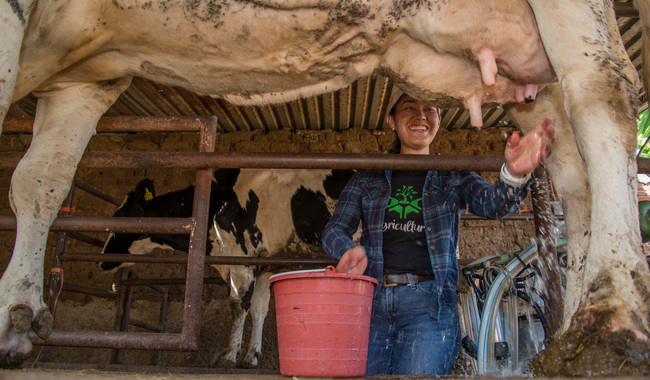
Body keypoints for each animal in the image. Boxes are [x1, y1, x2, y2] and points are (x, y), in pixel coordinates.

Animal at [102, 168, 354, 366]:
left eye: (120, 217)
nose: (103, 260)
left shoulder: (242, 258)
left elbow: (238, 305)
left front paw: (229, 354)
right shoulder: (263, 267)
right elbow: (258, 310)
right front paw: (251, 356)